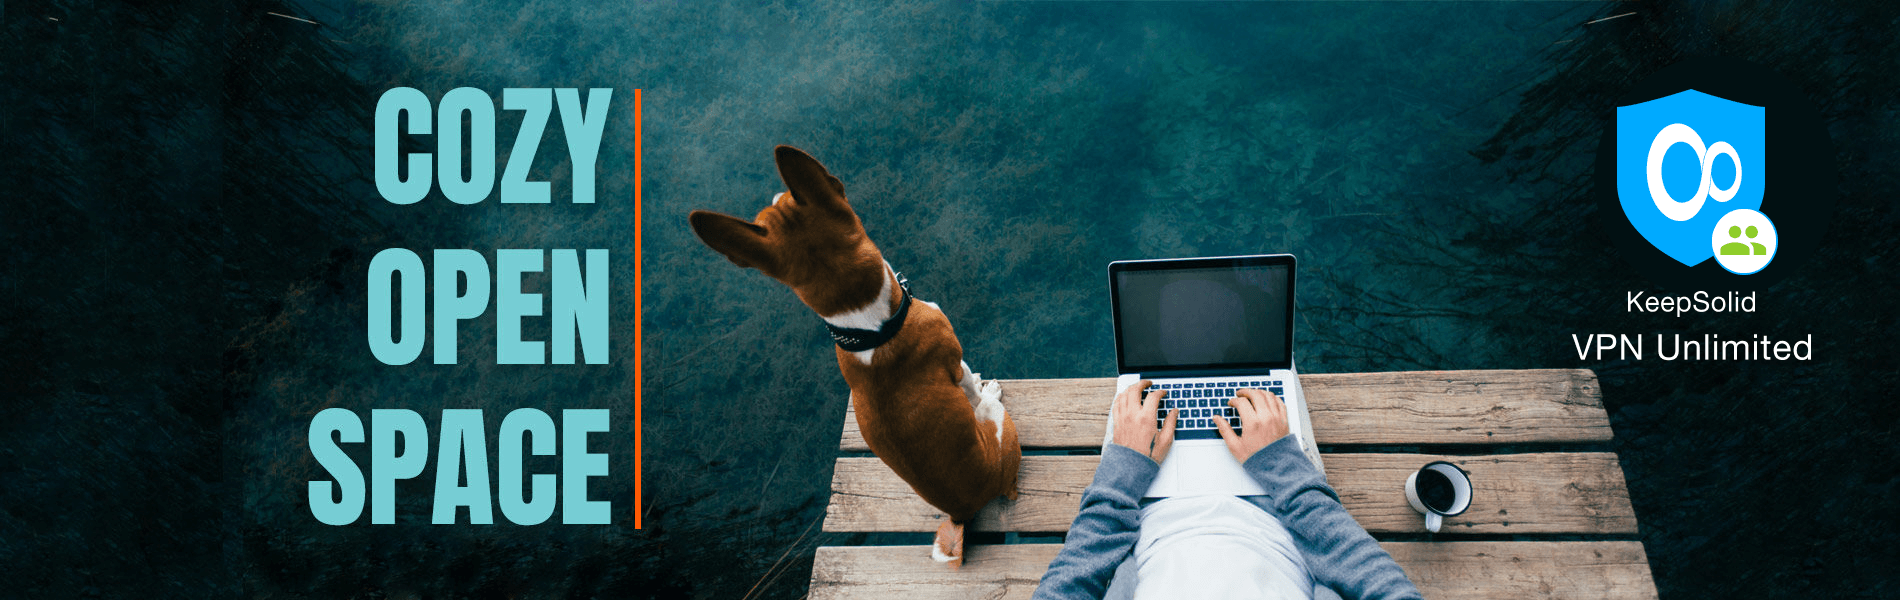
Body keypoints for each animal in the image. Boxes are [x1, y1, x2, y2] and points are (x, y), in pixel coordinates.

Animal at [691, 146, 1026, 565]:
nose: (776, 192)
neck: (871, 328)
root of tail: (960, 512)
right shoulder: (953, 357)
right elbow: (967, 382)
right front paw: (982, 386)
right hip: (998, 426)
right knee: (989, 410)